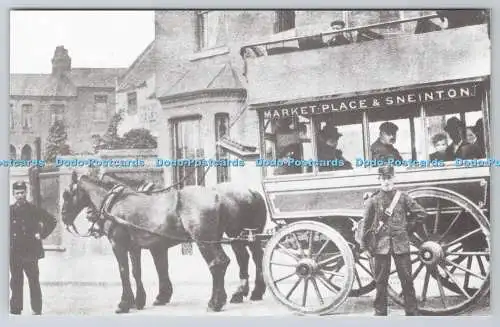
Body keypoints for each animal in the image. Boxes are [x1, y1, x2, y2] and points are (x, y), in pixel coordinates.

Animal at [62, 172, 232, 312]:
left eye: (66, 195)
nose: (63, 217)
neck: (114, 203)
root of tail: (217, 197)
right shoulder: (135, 247)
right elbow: (137, 271)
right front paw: (138, 301)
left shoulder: (119, 245)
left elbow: (124, 271)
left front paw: (124, 303)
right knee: (223, 262)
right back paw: (220, 300)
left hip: (204, 241)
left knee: (216, 264)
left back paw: (215, 303)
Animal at [98, 173, 270, 304]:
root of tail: (251, 191)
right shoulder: (149, 247)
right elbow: (153, 269)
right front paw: (157, 297)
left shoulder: (136, 246)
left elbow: (133, 270)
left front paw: (133, 301)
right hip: (242, 235)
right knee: (253, 257)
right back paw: (251, 292)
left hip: (225, 235)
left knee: (231, 260)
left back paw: (223, 299)